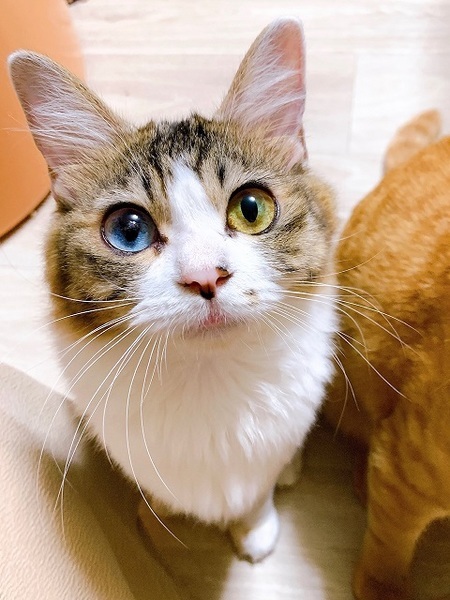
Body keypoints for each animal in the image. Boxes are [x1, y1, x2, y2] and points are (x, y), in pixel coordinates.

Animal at [9, 18, 338, 563]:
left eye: (251, 208)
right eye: (129, 230)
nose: (206, 277)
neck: (209, 382)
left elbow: (258, 489)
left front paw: (255, 528)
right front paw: (159, 519)